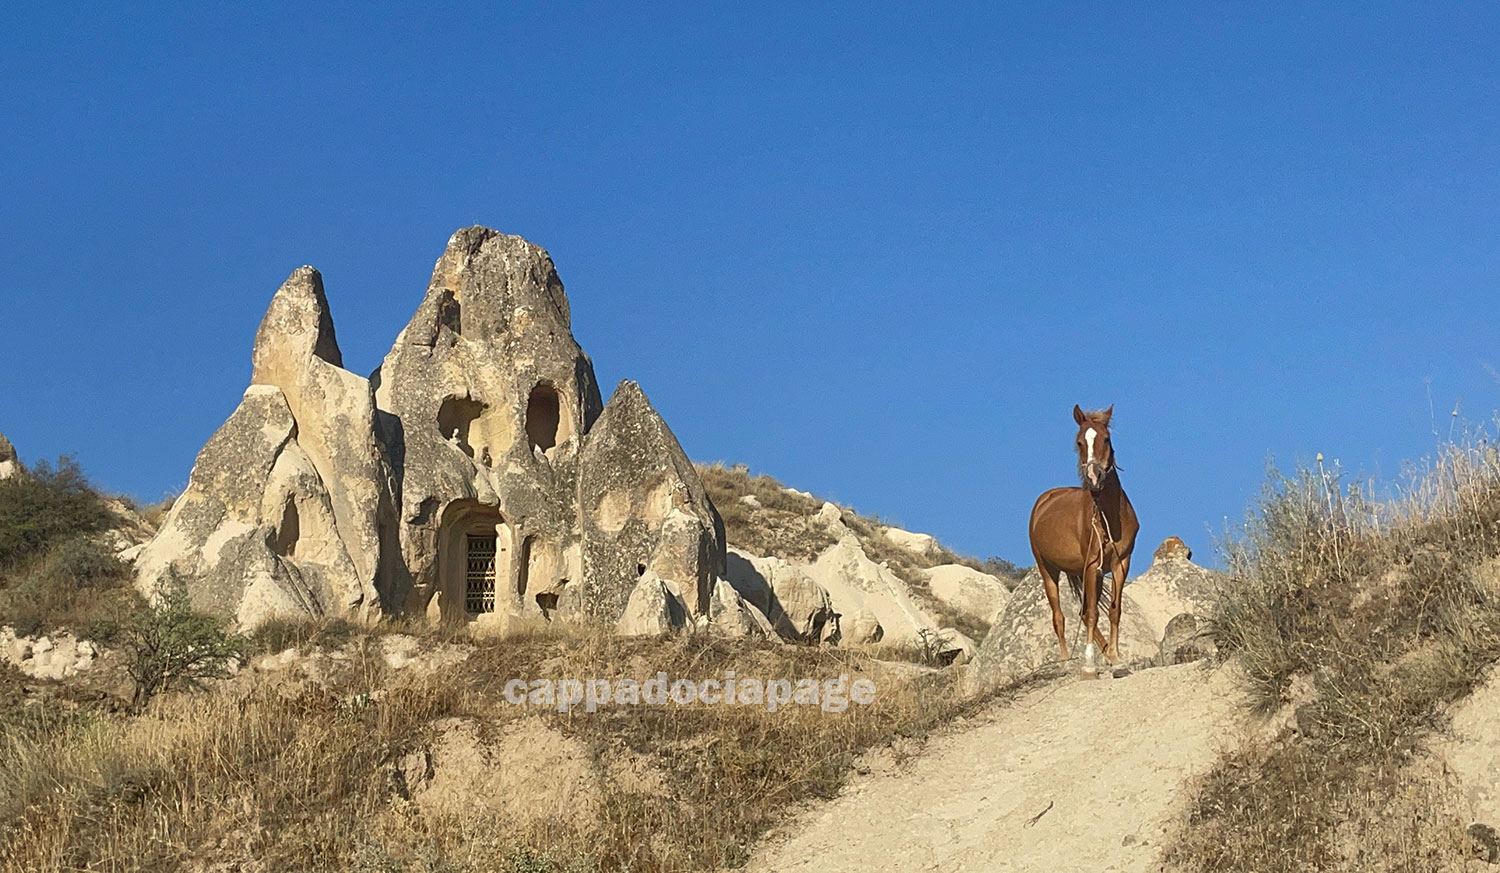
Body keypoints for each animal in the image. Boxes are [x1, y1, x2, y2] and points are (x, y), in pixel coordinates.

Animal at [1032, 405, 1134, 678]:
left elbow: (1114, 611)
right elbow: (1092, 614)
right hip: (1048, 570)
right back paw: (1066, 662)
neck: (1107, 517)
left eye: (1106, 439)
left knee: (1082, 611)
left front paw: (1117, 659)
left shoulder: (1120, 564)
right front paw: (1089, 665)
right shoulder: (1090, 565)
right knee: (1059, 617)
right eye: (1079, 442)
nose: (1093, 476)